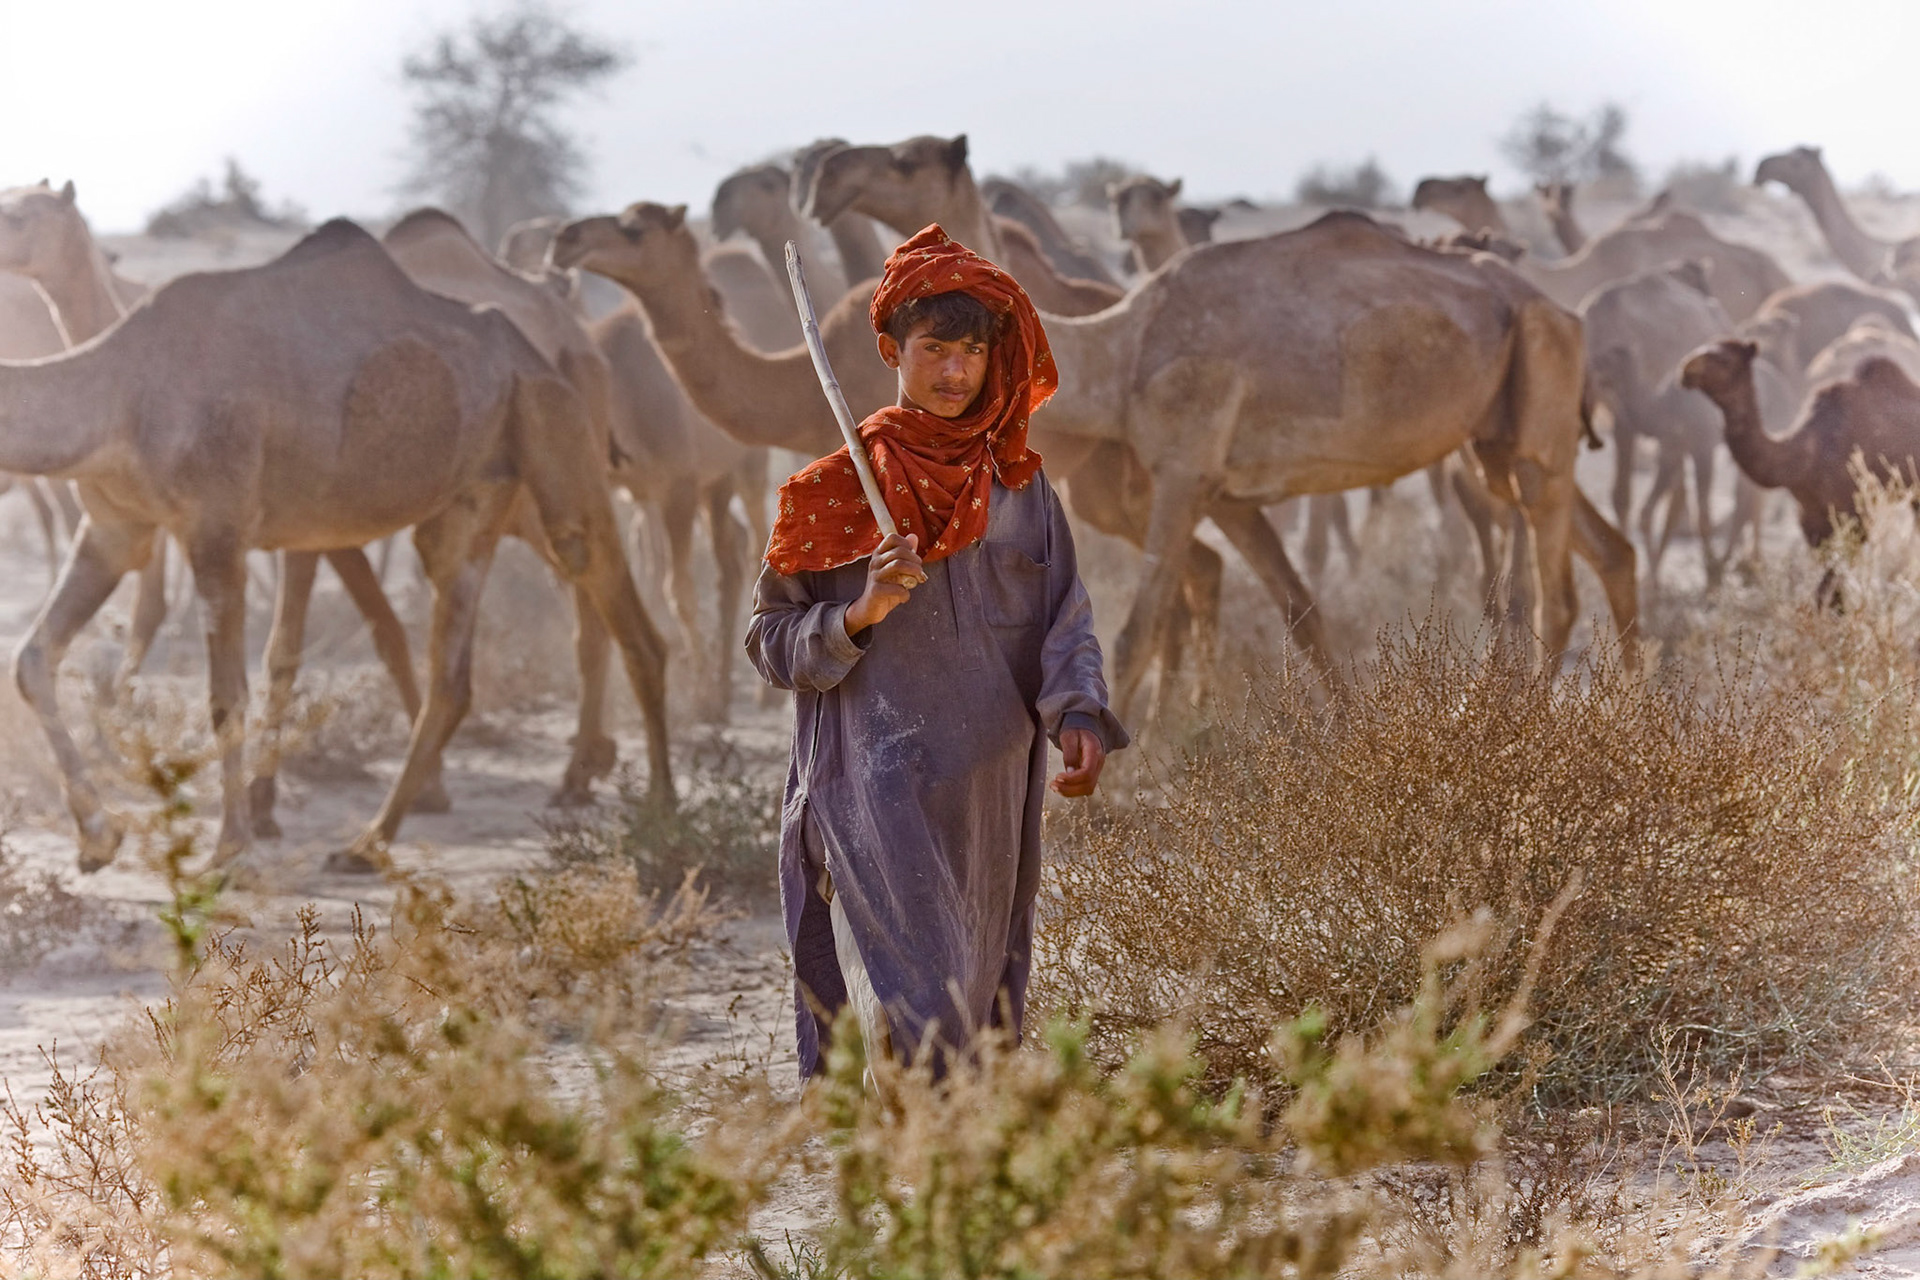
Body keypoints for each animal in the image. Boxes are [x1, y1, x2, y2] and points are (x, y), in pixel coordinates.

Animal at [0, 219, 674, 874]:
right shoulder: (114, 530)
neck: (119, 388)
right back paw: (370, 842)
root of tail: (553, 344)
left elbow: (226, 696)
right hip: (474, 497)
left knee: (625, 614)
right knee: (453, 675)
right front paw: (97, 836)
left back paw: (658, 812)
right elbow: (32, 660)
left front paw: (233, 845)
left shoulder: (217, 530)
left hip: (554, 440)